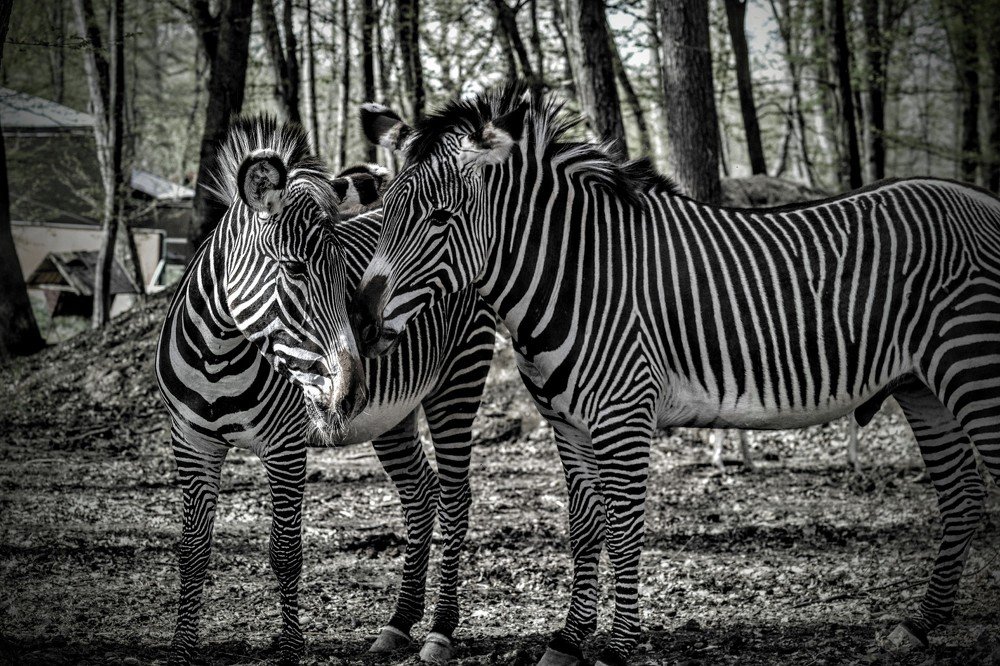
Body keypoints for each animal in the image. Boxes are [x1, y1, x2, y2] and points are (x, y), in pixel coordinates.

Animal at [155, 116, 495, 664]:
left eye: (343, 277)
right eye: (295, 269)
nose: (350, 395)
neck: (217, 354)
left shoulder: (285, 445)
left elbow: (286, 551)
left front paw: (292, 649)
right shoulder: (191, 441)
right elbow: (192, 550)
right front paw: (183, 651)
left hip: (458, 381)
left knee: (455, 498)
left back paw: (440, 631)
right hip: (393, 415)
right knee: (420, 494)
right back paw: (398, 625)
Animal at [351, 82, 1000, 666]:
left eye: (441, 217)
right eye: (384, 211)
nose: (357, 323)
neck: (580, 274)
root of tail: (981, 200)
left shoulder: (624, 417)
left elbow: (625, 525)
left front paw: (617, 646)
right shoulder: (568, 425)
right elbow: (585, 526)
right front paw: (568, 640)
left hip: (972, 369)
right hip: (921, 386)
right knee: (962, 494)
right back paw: (920, 625)